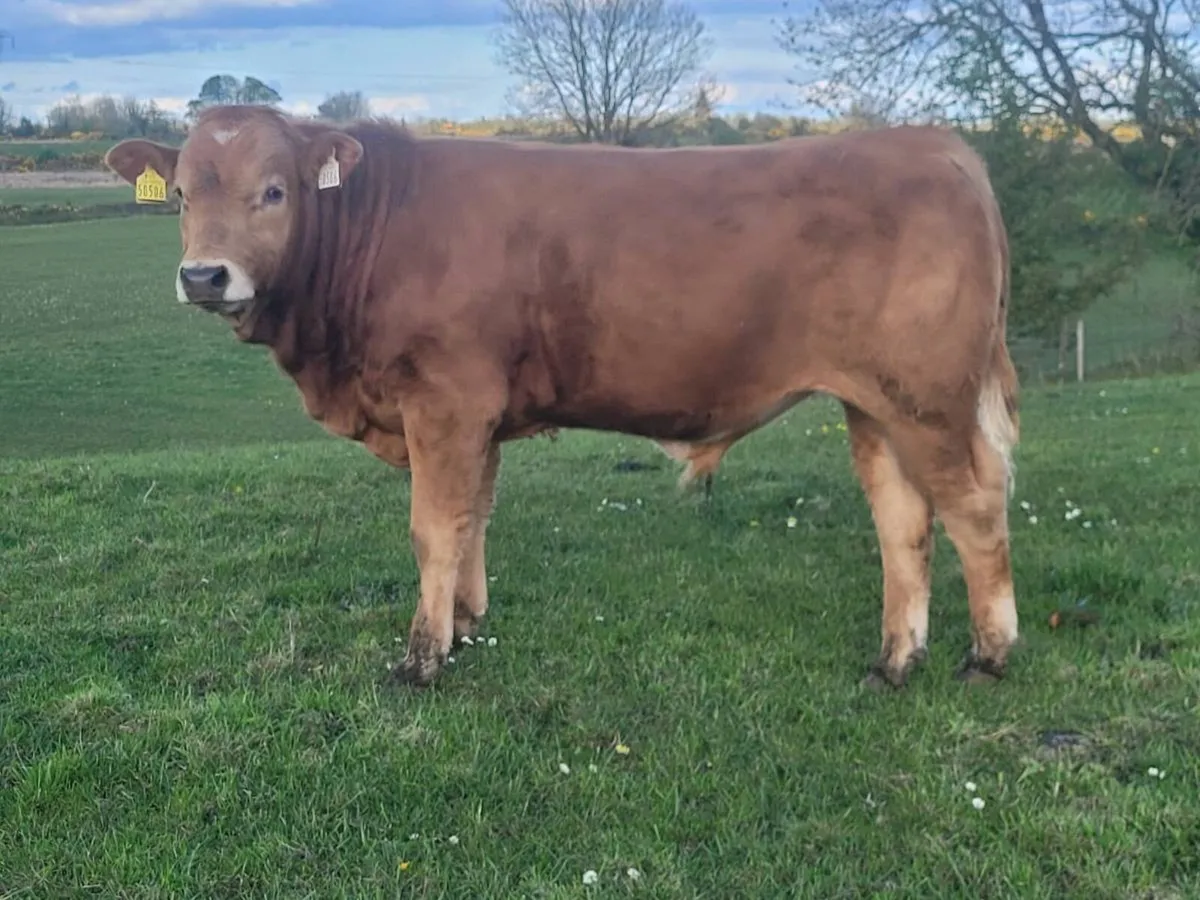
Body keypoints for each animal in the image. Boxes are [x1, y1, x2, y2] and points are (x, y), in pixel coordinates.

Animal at [104, 104, 1021, 692]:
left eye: (275, 190)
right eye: (181, 194)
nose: (204, 276)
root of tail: (936, 144)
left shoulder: (444, 400)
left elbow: (433, 527)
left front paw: (423, 657)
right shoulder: (476, 415)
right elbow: (472, 518)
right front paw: (466, 622)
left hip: (929, 400)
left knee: (976, 508)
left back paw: (989, 655)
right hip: (875, 403)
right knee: (903, 521)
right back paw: (896, 661)